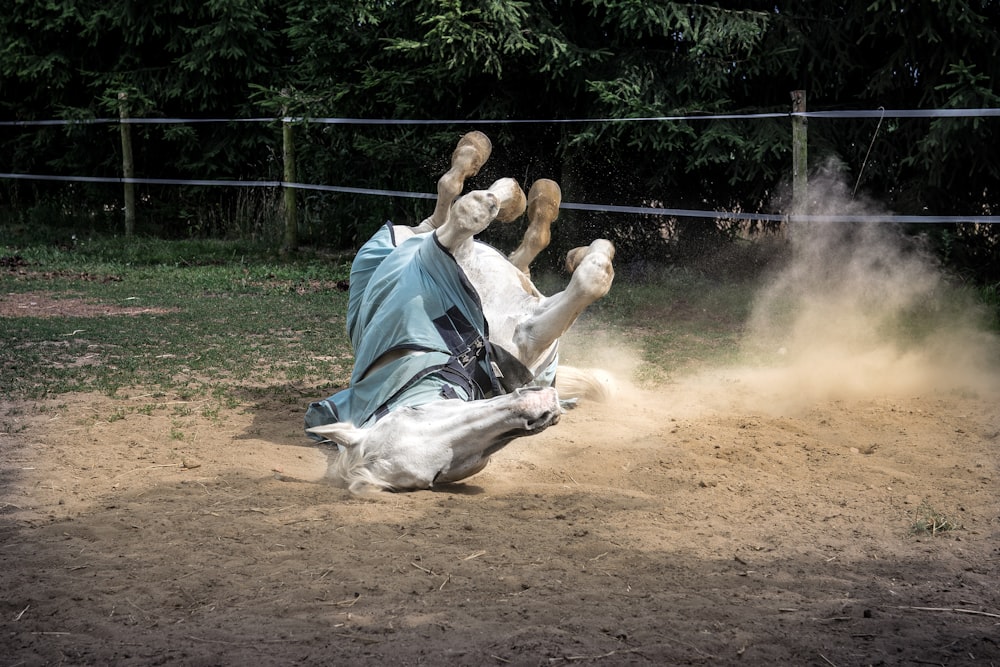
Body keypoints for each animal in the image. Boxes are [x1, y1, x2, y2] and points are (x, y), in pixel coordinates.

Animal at [306, 132, 616, 496]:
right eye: (437, 475)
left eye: (414, 409)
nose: (535, 409)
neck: (468, 349)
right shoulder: (530, 329)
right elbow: (591, 281)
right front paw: (596, 256)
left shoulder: (453, 256)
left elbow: (472, 209)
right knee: (507, 238)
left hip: (425, 238)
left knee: (456, 204)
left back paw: (510, 180)